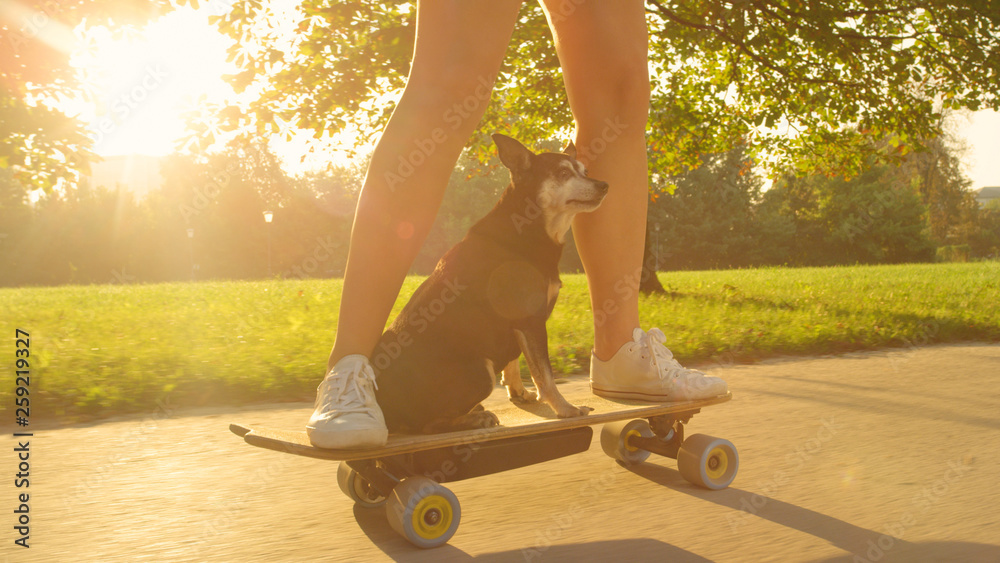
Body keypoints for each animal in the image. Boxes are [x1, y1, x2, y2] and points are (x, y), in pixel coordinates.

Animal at [374, 134, 608, 434]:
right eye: (563, 173)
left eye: (585, 171)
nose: (604, 185)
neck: (527, 227)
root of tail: (384, 407)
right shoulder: (530, 321)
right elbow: (544, 374)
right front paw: (565, 409)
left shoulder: (517, 323)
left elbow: (516, 359)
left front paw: (518, 391)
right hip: (480, 372)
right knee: (429, 425)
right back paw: (474, 417)